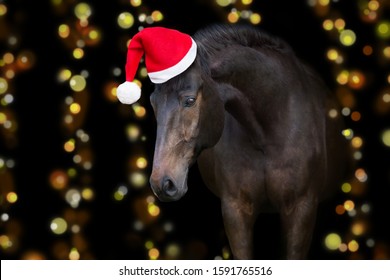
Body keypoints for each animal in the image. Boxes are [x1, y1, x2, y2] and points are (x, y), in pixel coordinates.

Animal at [146, 24, 350, 260]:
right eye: (153, 103)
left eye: (190, 100)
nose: (162, 183)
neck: (267, 134)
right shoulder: (236, 210)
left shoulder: (302, 209)